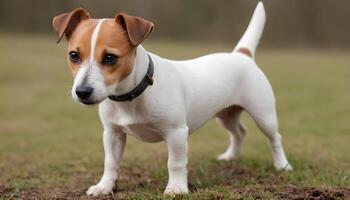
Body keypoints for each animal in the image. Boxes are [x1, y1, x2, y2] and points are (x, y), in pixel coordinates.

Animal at [52, 1, 292, 195]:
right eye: (74, 55)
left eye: (110, 58)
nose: (82, 92)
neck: (133, 93)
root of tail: (241, 54)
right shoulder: (112, 134)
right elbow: (110, 163)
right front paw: (104, 186)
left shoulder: (176, 133)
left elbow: (175, 163)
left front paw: (176, 188)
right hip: (226, 115)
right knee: (239, 132)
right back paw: (231, 156)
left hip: (264, 115)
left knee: (275, 138)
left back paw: (282, 165)